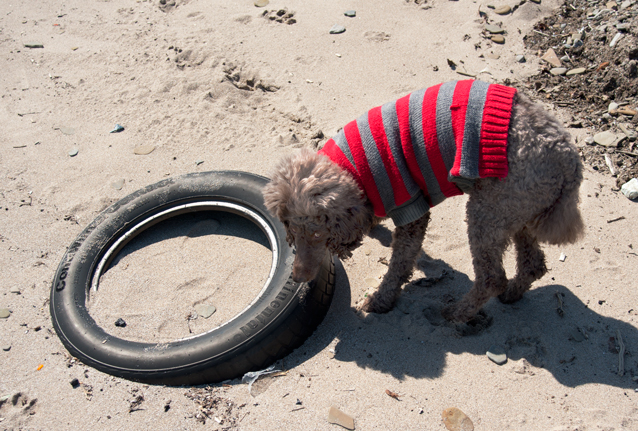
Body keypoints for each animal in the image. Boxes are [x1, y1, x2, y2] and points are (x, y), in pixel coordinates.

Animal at [262, 81, 584, 324]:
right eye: (291, 231)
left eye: (318, 234)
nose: (297, 277)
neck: (352, 166)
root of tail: (569, 159)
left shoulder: (409, 207)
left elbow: (400, 263)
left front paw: (380, 300)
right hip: (519, 210)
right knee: (532, 264)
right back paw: (512, 294)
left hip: (489, 211)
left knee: (492, 278)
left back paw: (456, 313)